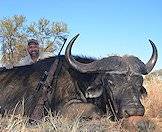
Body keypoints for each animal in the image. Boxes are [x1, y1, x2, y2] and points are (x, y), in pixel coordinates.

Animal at [0, 34, 158, 120]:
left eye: (139, 83)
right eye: (111, 82)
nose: (135, 111)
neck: (79, 79)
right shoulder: (61, 111)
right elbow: (96, 111)